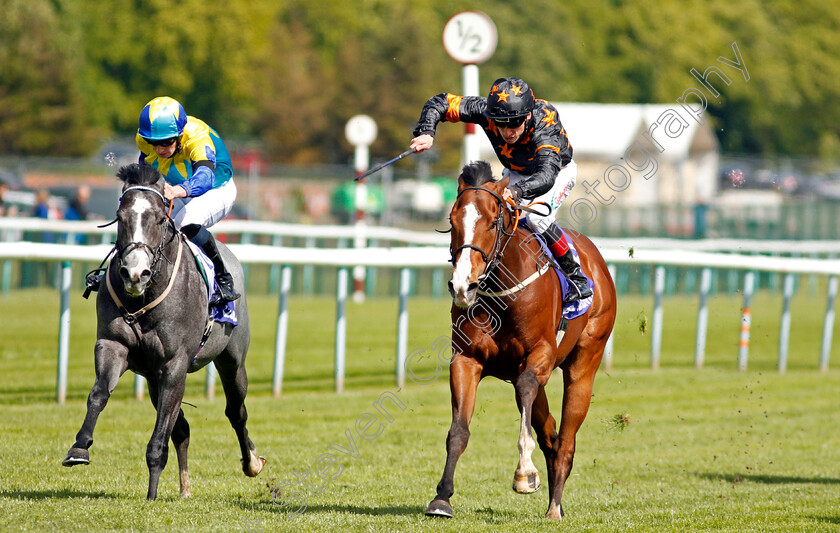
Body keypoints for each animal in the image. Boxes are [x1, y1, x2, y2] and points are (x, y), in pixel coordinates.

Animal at [62, 162, 264, 498]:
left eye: (158, 218)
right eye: (121, 216)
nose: (135, 274)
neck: (145, 295)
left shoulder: (175, 363)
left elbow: (161, 432)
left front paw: (151, 494)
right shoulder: (114, 345)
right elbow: (99, 393)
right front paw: (79, 448)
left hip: (232, 361)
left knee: (236, 412)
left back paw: (252, 462)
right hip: (153, 377)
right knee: (181, 428)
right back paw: (184, 488)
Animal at [426, 160, 616, 516]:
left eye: (492, 222)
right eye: (452, 221)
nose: (462, 286)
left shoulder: (540, 354)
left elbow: (527, 391)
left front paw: (525, 474)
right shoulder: (467, 359)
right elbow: (458, 430)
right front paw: (441, 498)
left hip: (585, 361)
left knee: (566, 438)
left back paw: (554, 507)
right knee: (550, 433)